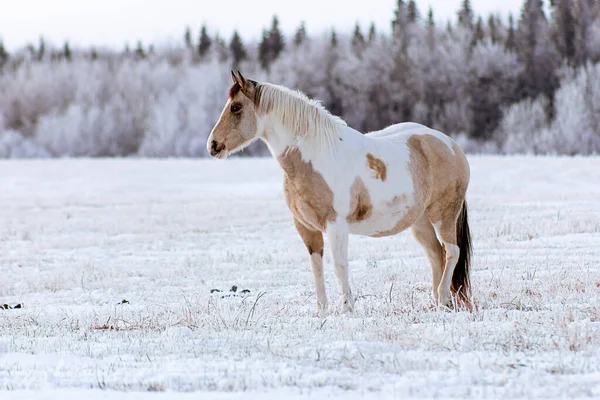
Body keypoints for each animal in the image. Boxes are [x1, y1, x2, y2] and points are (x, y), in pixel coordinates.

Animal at [209, 72, 472, 314]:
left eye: (235, 107)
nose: (213, 145)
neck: (315, 156)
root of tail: (451, 145)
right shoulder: (306, 227)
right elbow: (316, 267)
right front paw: (322, 311)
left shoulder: (335, 225)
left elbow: (339, 265)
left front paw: (347, 308)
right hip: (420, 223)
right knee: (436, 255)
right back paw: (438, 303)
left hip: (443, 215)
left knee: (451, 252)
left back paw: (444, 299)